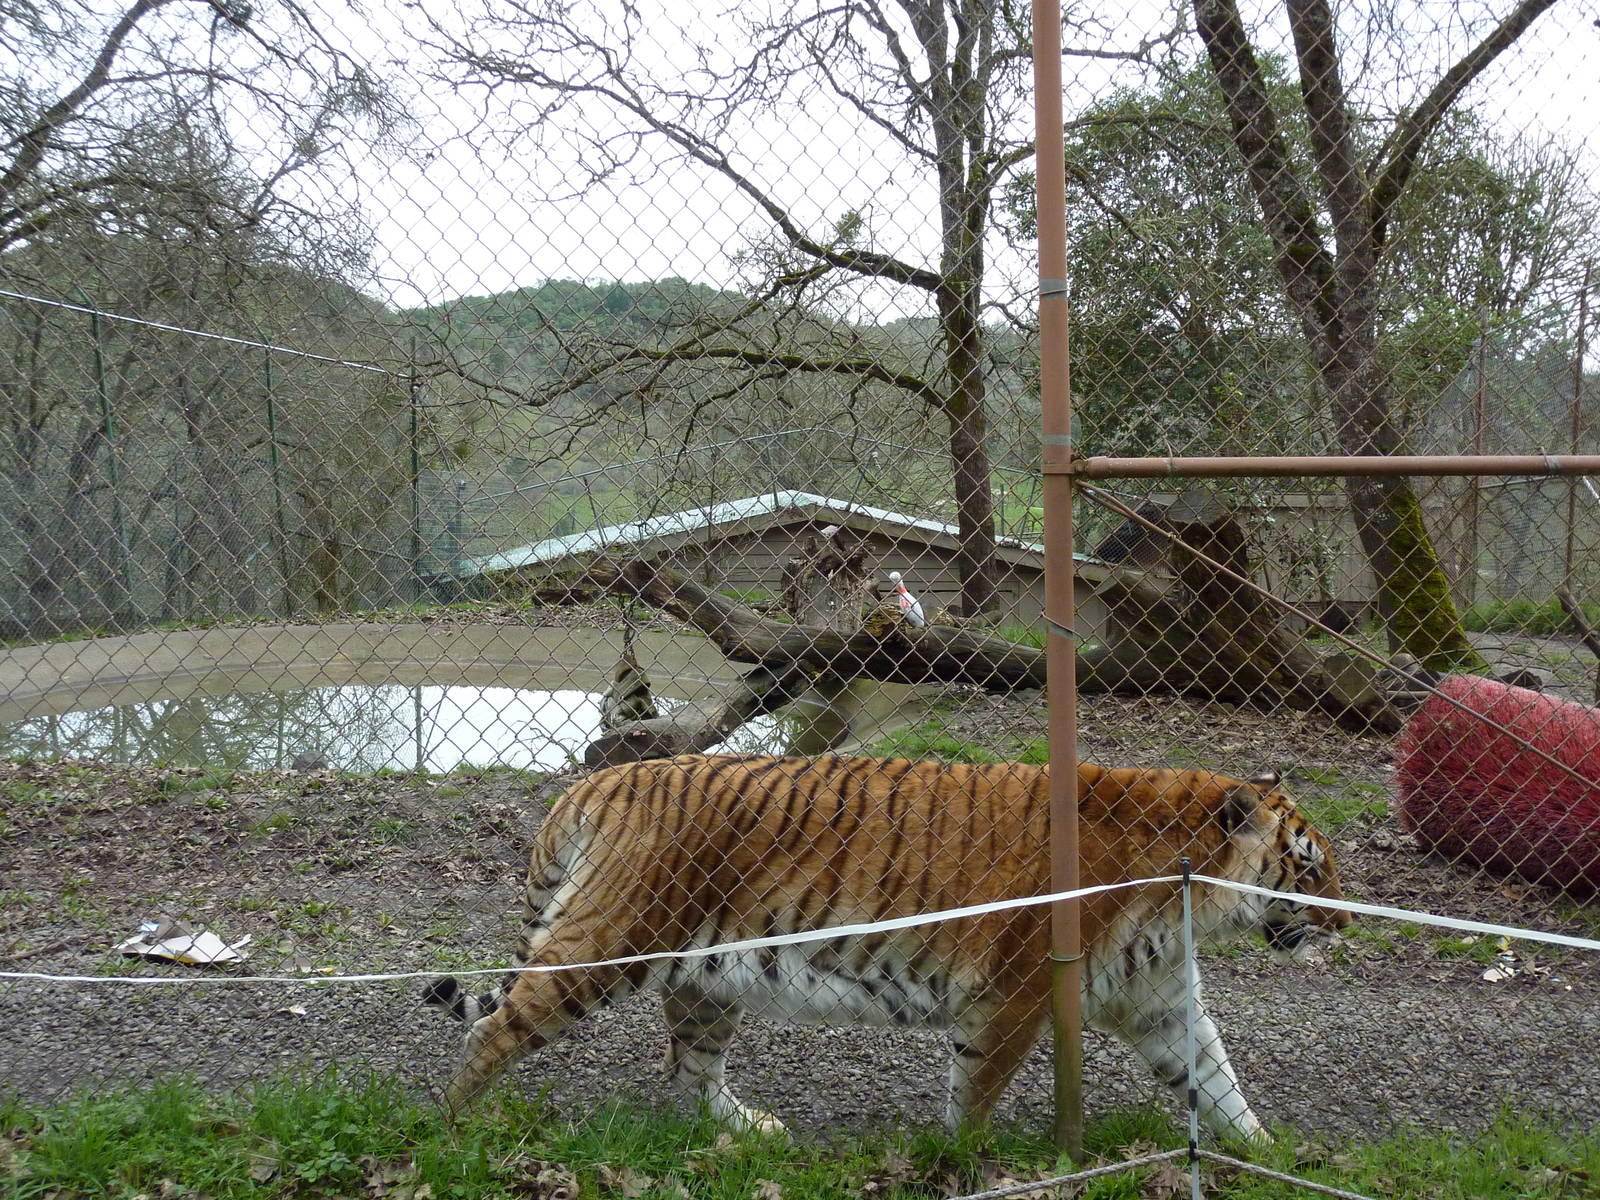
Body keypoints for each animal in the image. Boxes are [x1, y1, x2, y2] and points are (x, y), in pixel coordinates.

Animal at [425, 753, 1350, 1142]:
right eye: (1311, 865)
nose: (1347, 923)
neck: (1189, 887)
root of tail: (595, 782)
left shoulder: (1159, 1003)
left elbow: (1218, 1083)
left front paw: (1270, 1155)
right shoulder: (1013, 994)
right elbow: (974, 1094)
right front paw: (960, 1162)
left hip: (707, 979)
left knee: (690, 1072)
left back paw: (750, 1130)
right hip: (611, 942)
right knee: (495, 1029)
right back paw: (451, 1126)